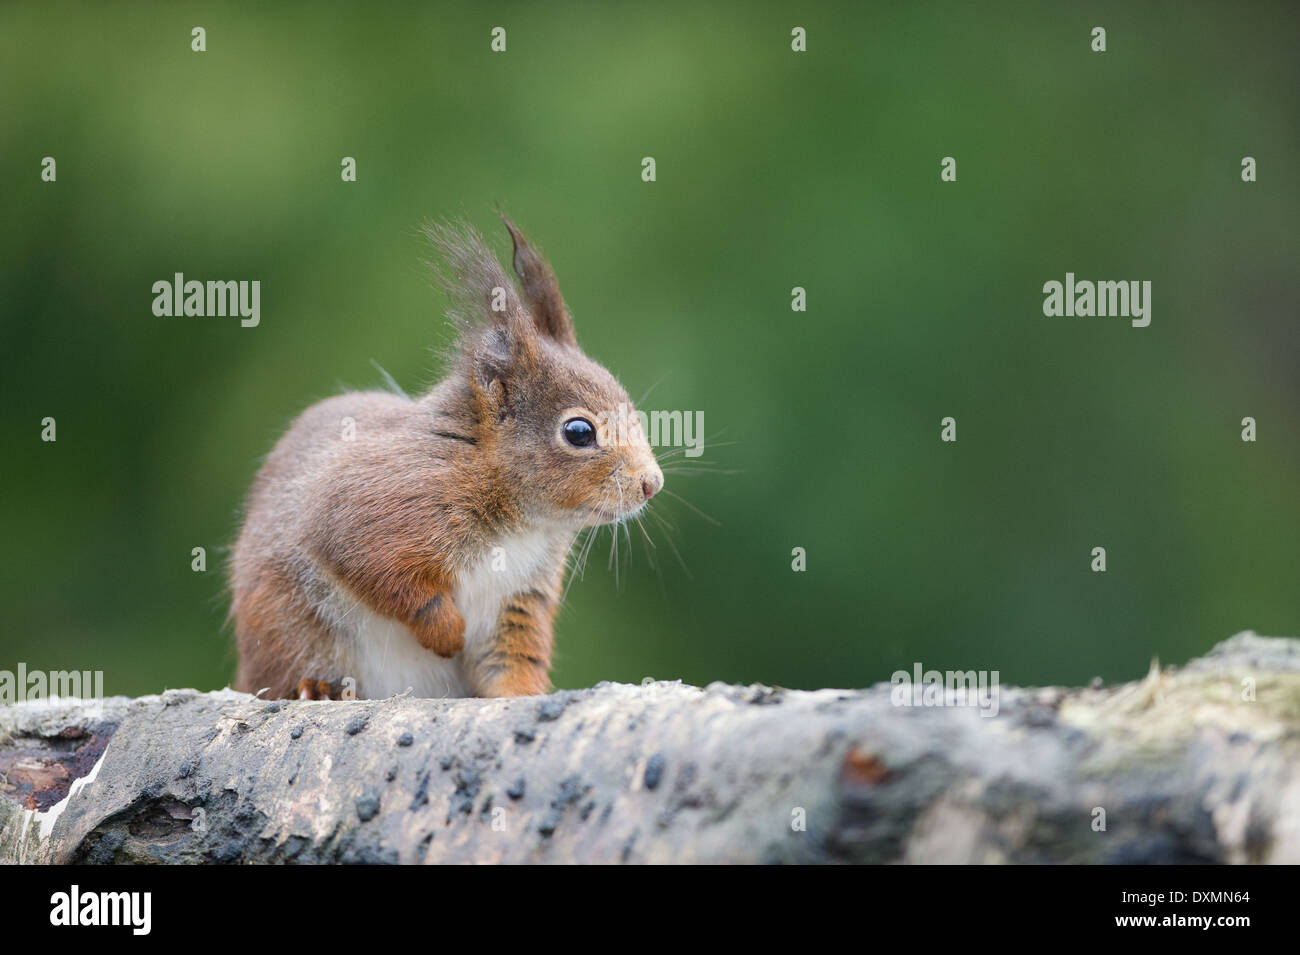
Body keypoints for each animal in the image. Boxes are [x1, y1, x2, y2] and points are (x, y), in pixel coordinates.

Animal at [227, 218, 665, 701]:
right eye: (579, 432)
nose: (652, 484)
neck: (526, 524)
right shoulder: (378, 505)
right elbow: (382, 572)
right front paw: (445, 633)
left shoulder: (519, 598)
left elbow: (511, 656)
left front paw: (521, 693)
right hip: (286, 625)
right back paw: (318, 688)